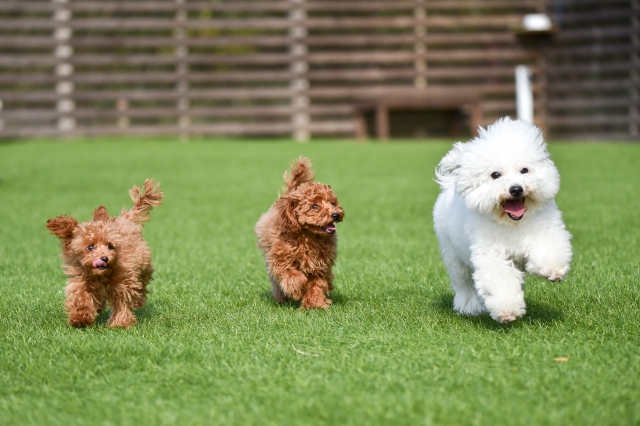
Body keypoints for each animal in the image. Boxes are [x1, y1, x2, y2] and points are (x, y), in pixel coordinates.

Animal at [432, 117, 572, 322]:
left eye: (524, 170)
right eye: (495, 175)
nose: (516, 189)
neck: (513, 222)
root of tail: (450, 185)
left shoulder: (545, 230)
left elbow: (548, 249)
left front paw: (553, 269)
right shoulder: (490, 254)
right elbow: (500, 278)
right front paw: (507, 309)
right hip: (453, 255)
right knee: (464, 283)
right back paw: (470, 308)